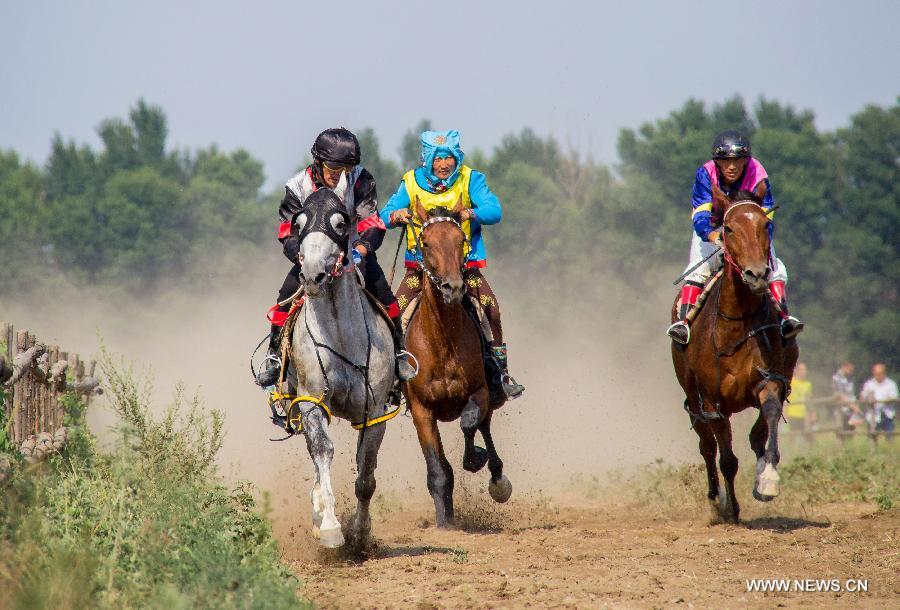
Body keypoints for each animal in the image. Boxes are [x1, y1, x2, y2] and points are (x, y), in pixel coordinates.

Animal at [284, 172, 398, 548]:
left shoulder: (374, 412)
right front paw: (331, 527)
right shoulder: (311, 403)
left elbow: (366, 474)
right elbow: (322, 452)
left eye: (340, 223)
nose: (312, 276)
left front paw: (361, 532)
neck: (340, 335)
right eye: (298, 223)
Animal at [402, 196, 510, 528]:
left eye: (461, 239)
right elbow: (438, 470)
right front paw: (444, 522)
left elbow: (470, 422)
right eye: (425, 243)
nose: (453, 287)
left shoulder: (479, 392)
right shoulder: (421, 410)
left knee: (484, 425)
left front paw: (475, 458)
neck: (442, 340)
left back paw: (497, 478)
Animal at [672, 180, 800, 524]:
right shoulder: (712, 402)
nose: (756, 274)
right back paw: (716, 500)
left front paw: (767, 479)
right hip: (693, 397)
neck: (736, 326)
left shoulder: (770, 380)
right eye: (728, 228)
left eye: (764, 225)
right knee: (707, 446)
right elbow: (726, 458)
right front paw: (730, 508)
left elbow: (766, 422)